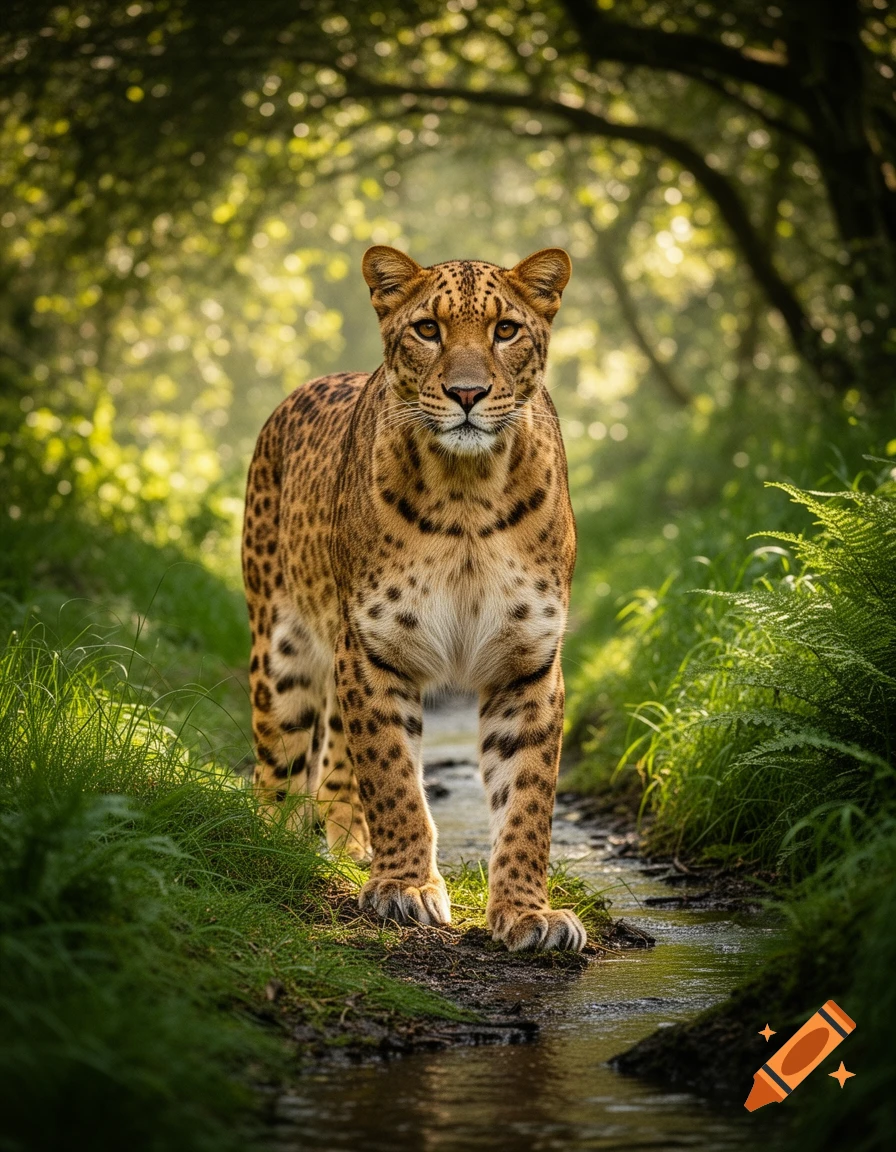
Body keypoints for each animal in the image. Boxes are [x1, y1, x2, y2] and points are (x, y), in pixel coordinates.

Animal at [241, 244, 585, 952]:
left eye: (505, 330)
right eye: (428, 329)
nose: (466, 393)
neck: (469, 495)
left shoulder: (529, 663)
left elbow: (527, 798)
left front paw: (527, 912)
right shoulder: (375, 651)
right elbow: (395, 779)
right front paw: (406, 888)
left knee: (336, 772)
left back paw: (350, 852)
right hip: (282, 657)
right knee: (280, 769)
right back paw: (280, 854)